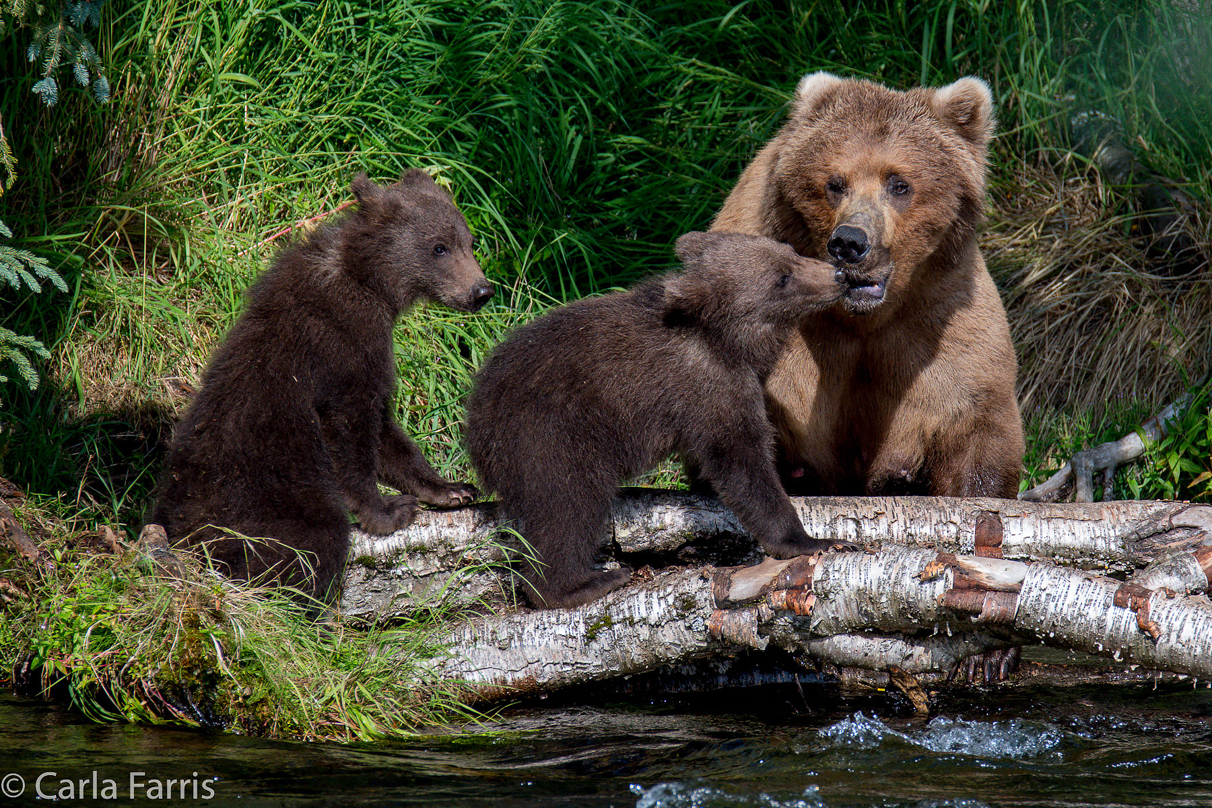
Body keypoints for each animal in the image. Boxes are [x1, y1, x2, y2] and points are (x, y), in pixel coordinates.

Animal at [707, 72, 1022, 499]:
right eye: (835, 183)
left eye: (899, 184)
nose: (849, 242)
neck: (863, 318)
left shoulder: (939, 318)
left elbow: (976, 418)